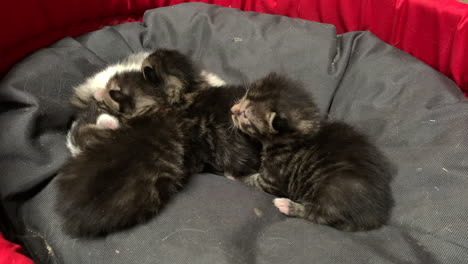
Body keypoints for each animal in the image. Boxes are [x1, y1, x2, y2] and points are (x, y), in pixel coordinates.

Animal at [230, 72, 394, 231]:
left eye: (245, 114)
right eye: (244, 97)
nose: (232, 110)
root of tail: (376, 216)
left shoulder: (273, 179)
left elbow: (252, 180)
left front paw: (233, 175)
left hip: (332, 192)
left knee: (318, 215)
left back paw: (286, 205)